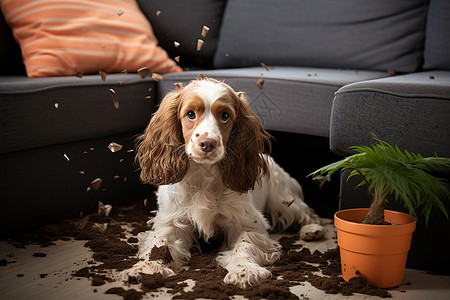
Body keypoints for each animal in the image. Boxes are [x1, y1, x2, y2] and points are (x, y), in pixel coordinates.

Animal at [124, 77, 324, 288]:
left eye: (225, 116)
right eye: (190, 114)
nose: (207, 143)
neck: (203, 176)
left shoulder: (248, 223)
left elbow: (244, 246)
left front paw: (245, 271)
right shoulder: (171, 222)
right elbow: (159, 246)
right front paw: (147, 269)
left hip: (283, 200)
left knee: (307, 213)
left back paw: (312, 230)